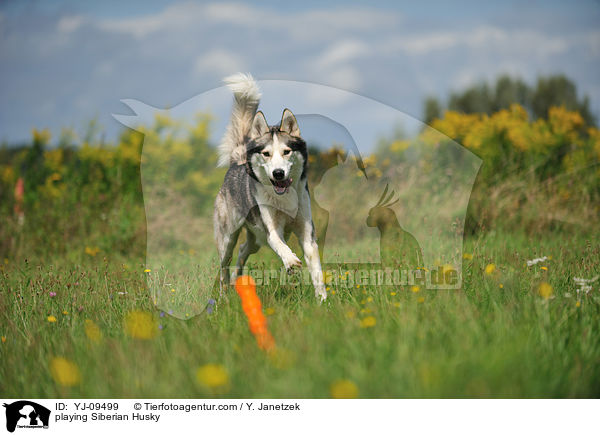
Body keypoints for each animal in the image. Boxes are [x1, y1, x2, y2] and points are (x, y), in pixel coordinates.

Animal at [214, 73, 328, 302]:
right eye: (266, 154)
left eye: (286, 151)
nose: (278, 173)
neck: (284, 200)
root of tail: (237, 161)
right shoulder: (271, 229)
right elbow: (279, 243)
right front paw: (291, 261)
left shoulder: (306, 230)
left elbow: (316, 268)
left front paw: (323, 300)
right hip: (229, 237)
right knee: (224, 265)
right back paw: (223, 297)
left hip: (255, 240)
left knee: (243, 251)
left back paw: (237, 280)